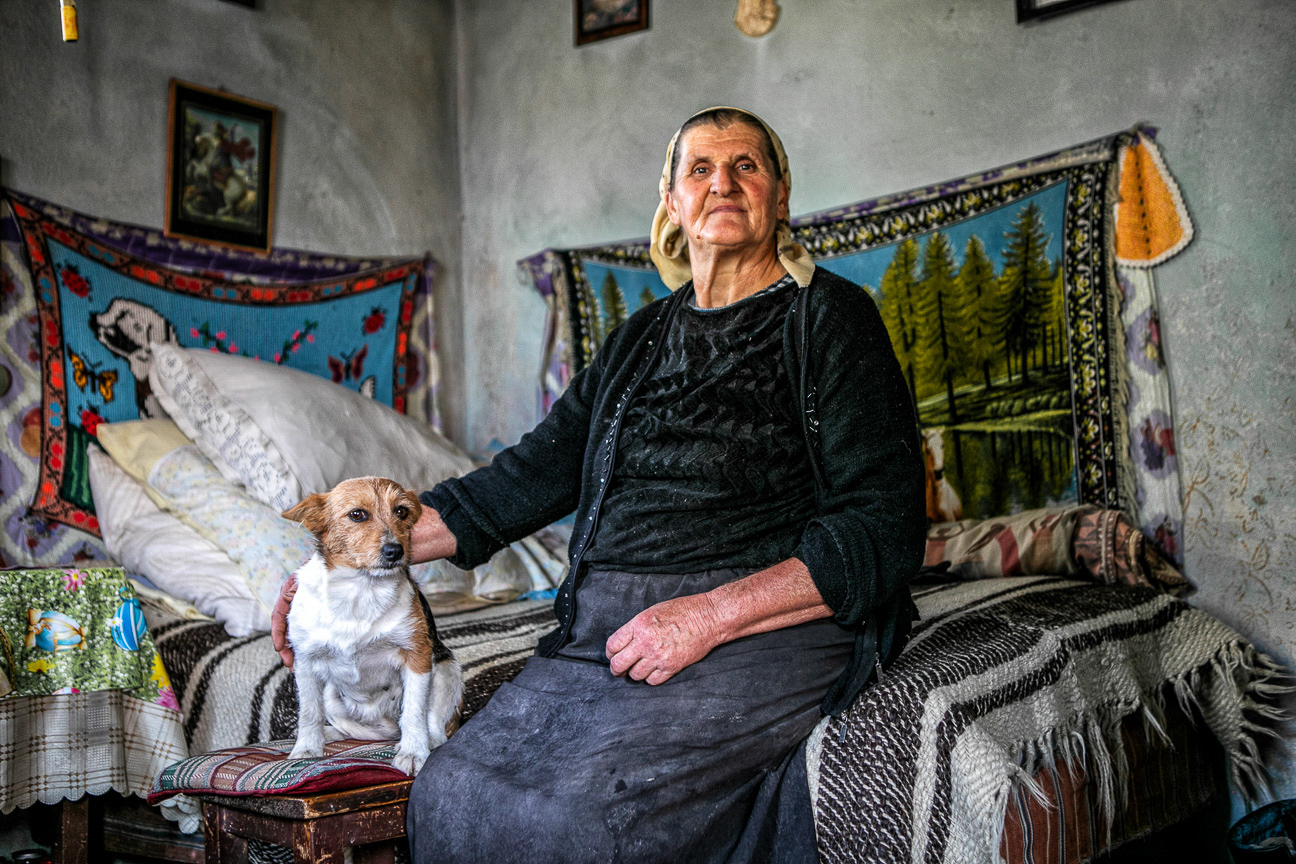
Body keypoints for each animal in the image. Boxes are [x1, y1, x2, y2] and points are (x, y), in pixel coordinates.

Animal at [281, 477, 463, 776]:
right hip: (332, 695)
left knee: (433, 727)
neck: (360, 589)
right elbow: (309, 712)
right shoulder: (305, 662)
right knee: (352, 729)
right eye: (357, 514)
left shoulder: (418, 656)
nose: (395, 551)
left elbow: (414, 712)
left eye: (401, 511)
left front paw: (413, 752)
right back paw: (329, 734)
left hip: (446, 671)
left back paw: (420, 742)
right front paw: (306, 749)